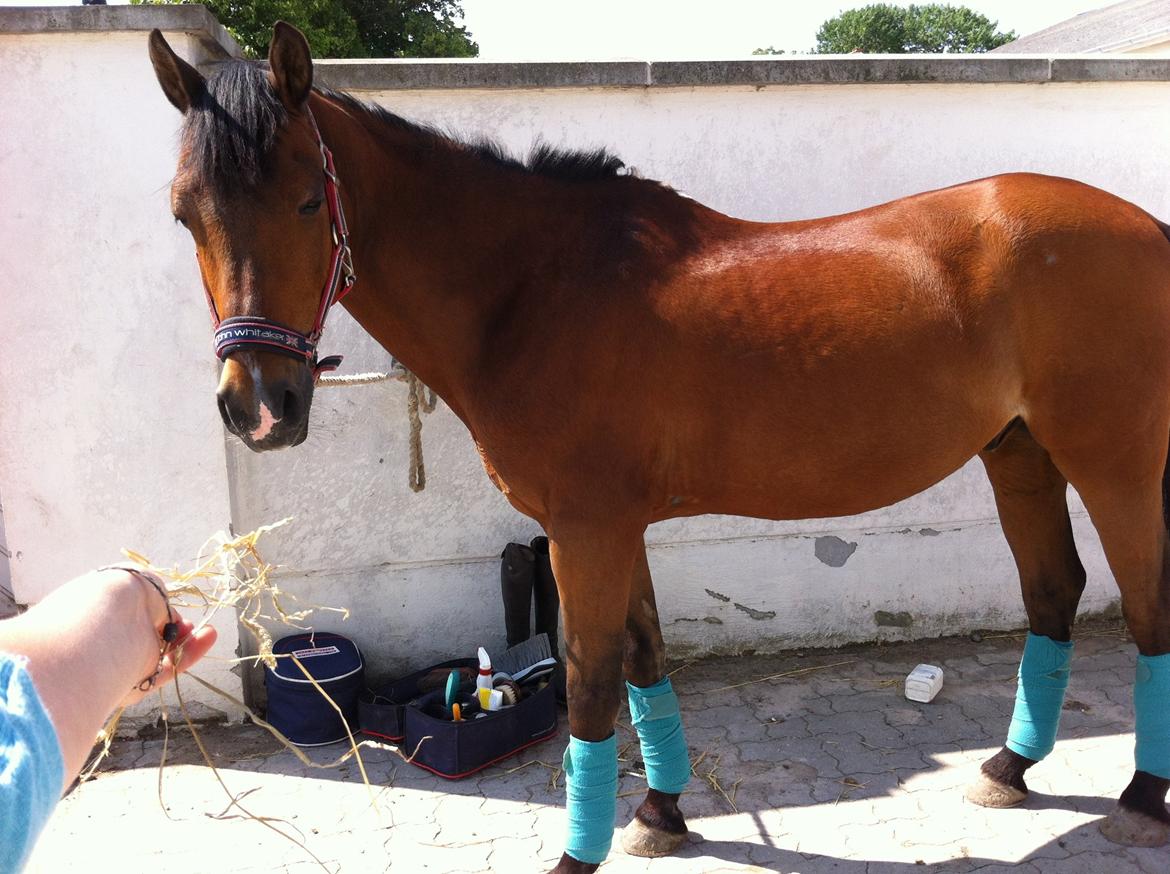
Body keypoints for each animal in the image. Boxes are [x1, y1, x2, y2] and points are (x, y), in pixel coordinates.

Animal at [149, 22, 1170, 872]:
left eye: (306, 199)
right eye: (184, 212)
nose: (261, 408)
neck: (534, 290)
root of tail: (1145, 229)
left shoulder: (587, 529)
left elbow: (592, 681)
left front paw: (579, 853)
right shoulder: (614, 526)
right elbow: (644, 658)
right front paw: (660, 815)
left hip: (1113, 462)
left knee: (1146, 604)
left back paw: (1140, 796)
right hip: (1018, 454)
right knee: (1054, 591)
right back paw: (1009, 768)